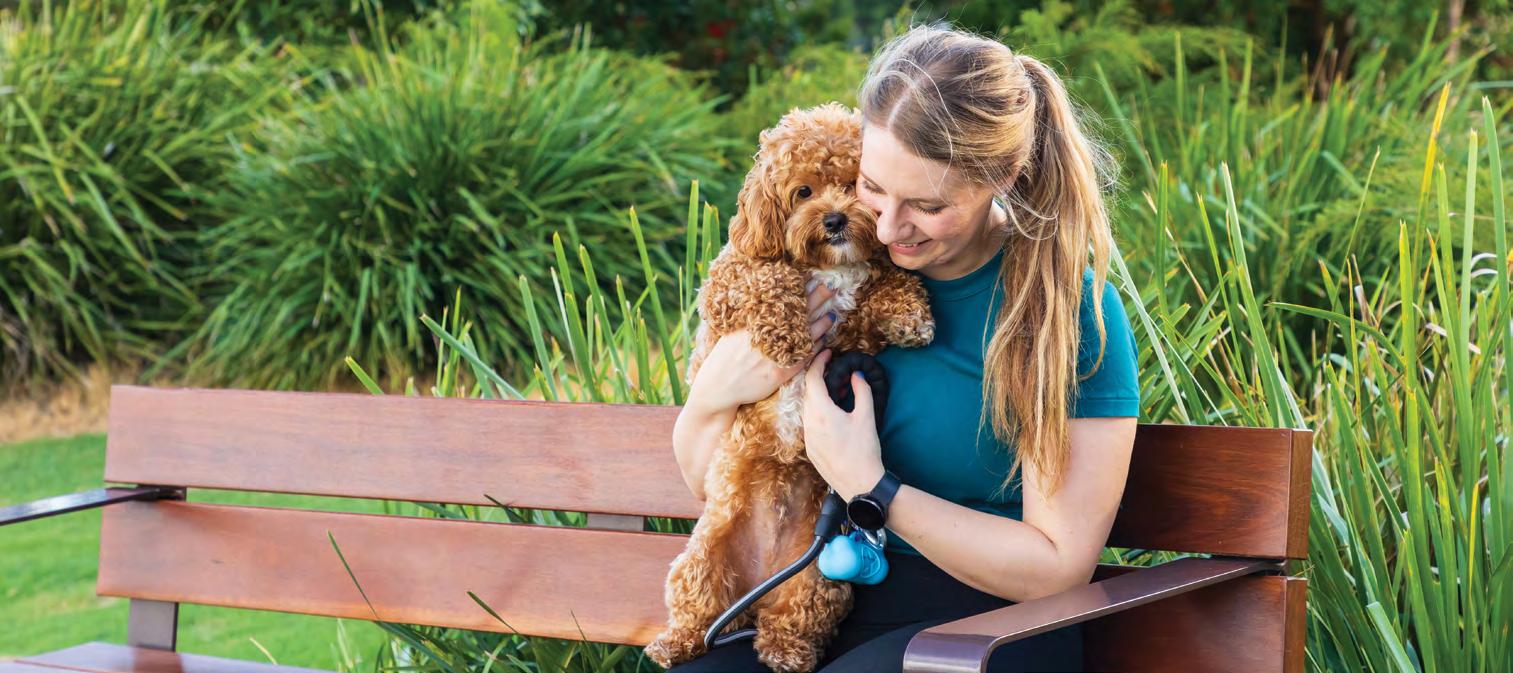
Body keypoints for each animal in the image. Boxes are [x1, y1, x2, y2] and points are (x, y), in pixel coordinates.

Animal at [643, 102, 935, 673]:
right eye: (803, 191)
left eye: (853, 185)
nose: (835, 219)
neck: (827, 267)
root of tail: (753, 596)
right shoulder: (725, 286)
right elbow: (763, 276)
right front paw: (788, 331)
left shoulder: (853, 333)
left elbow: (888, 283)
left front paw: (911, 313)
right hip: (699, 561)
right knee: (695, 610)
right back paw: (675, 642)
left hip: (818, 577)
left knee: (793, 617)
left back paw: (786, 651)